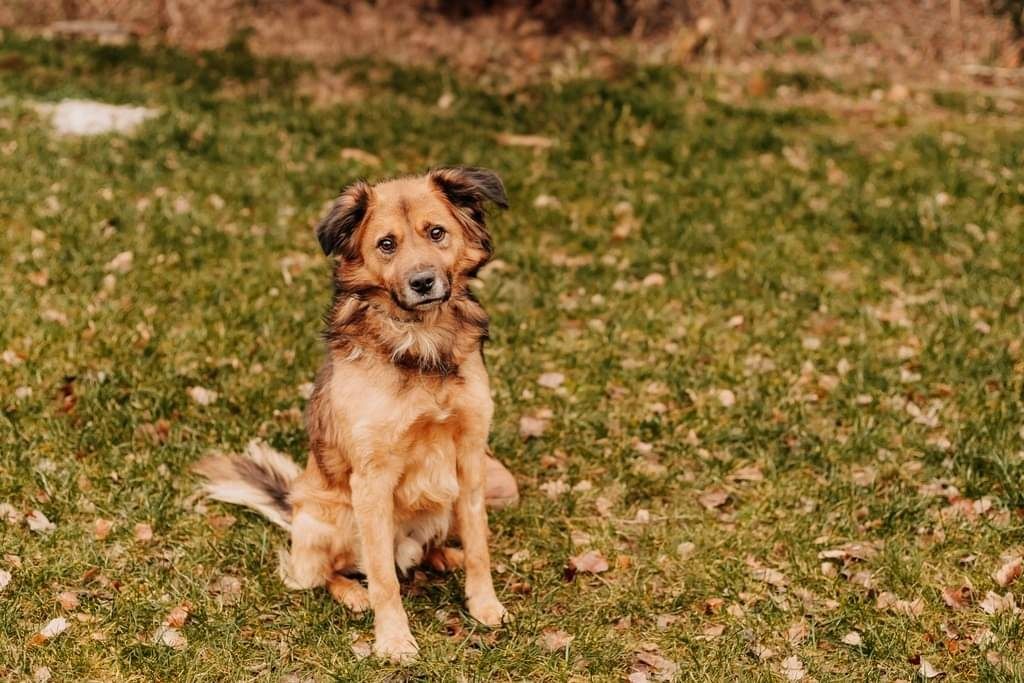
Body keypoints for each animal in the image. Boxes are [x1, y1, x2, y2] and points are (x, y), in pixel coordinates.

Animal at [193, 166, 509, 663]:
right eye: (386, 244)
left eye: (436, 233)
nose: (423, 282)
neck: (421, 341)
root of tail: (292, 505)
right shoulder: (372, 480)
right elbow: (382, 577)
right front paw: (394, 639)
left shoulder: (470, 457)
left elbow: (479, 543)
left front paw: (484, 603)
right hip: (332, 516)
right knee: (321, 574)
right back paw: (353, 593)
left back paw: (444, 557)